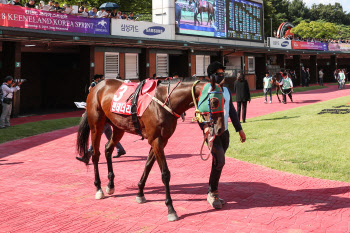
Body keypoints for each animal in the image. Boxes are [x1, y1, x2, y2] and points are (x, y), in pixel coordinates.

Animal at [76, 77, 224, 221]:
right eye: (214, 101)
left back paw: (110, 185)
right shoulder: (156, 140)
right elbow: (165, 174)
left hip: (118, 126)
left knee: (108, 149)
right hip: (96, 126)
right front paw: (171, 209)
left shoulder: (161, 140)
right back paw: (98, 188)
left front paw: (140, 193)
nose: (220, 129)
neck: (164, 102)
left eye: (224, 100)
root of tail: (97, 86)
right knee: (95, 155)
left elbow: (147, 166)